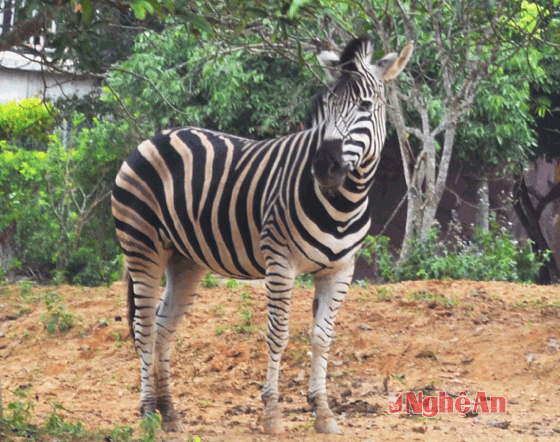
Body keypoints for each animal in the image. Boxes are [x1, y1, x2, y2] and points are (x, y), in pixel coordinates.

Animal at [112, 35, 412, 436]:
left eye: (365, 105)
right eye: (326, 105)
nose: (323, 168)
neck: (342, 201)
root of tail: (154, 137)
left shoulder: (340, 270)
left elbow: (321, 338)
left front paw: (323, 412)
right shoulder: (280, 263)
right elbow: (279, 334)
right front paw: (271, 413)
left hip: (185, 260)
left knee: (163, 327)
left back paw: (170, 412)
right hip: (142, 247)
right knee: (143, 327)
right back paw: (147, 412)